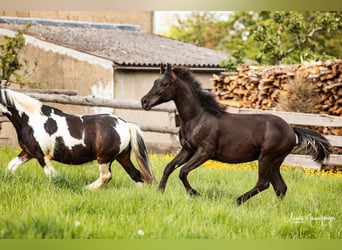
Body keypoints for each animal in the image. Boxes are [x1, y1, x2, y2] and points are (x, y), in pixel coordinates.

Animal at [0, 88, 155, 188]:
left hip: (104, 158)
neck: (31, 119)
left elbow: (53, 176)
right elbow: (10, 167)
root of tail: (125, 124)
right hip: (122, 156)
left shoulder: (42, 155)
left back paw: (86, 189)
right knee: (135, 174)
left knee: (106, 176)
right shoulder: (28, 152)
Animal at [140, 63, 330, 204]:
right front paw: (159, 191)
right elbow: (169, 168)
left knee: (264, 183)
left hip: (267, 158)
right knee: (280, 187)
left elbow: (183, 172)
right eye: (154, 82)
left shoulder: (204, 152)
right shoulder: (187, 150)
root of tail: (291, 129)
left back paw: (237, 200)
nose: (144, 101)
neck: (196, 117)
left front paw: (195, 193)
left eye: (164, 84)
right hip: (275, 162)